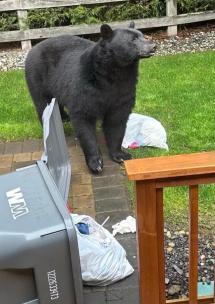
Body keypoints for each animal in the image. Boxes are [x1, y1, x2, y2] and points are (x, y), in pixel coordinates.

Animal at [25, 22, 155, 173]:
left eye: (142, 35)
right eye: (133, 39)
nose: (153, 46)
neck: (113, 74)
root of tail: (33, 48)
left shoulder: (124, 89)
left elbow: (117, 120)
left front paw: (120, 155)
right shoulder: (85, 87)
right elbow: (84, 119)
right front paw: (95, 163)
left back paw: (64, 117)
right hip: (37, 77)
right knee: (42, 103)